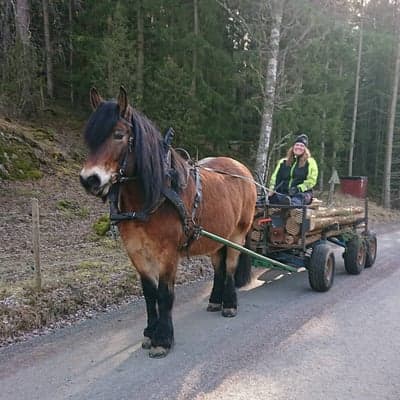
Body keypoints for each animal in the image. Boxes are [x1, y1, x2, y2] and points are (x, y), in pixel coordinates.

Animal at [79, 86, 256, 356]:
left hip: (237, 234)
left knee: (230, 267)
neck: (155, 196)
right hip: (216, 236)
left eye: (119, 135)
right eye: (90, 137)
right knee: (218, 266)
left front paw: (163, 338)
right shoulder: (137, 252)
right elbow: (149, 294)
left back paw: (229, 304)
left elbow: (164, 295)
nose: (89, 180)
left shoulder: (167, 253)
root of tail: (242, 169)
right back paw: (216, 300)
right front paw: (150, 332)